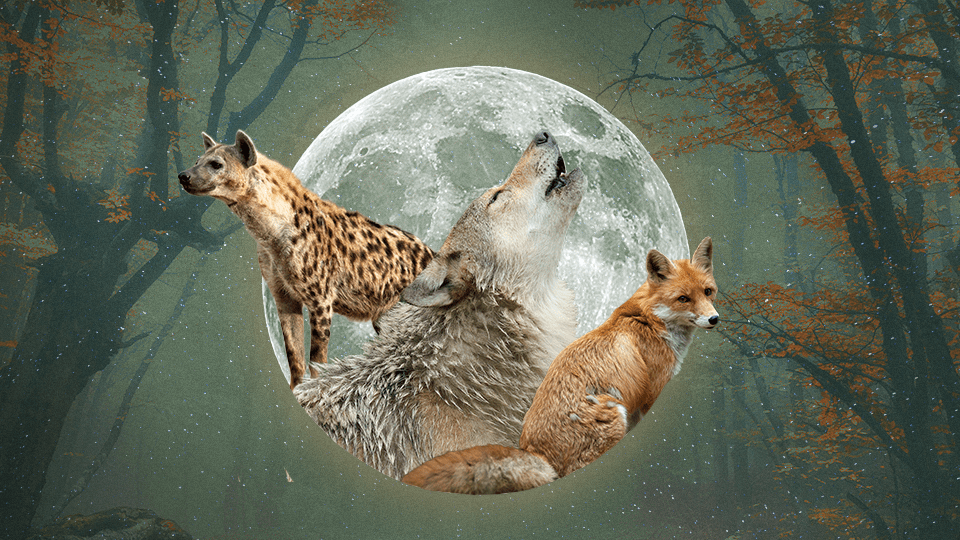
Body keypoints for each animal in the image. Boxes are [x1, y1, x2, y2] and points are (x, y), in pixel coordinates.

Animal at [178, 131, 434, 389]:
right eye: (197, 161)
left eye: (216, 164)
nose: (182, 175)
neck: (270, 232)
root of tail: (431, 252)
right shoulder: (283, 296)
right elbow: (294, 353)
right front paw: (296, 389)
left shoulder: (321, 300)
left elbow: (317, 357)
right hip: (387, 316)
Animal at [402, 238, 719, 494]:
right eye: (683, 298)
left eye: (708, 292)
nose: (714, 319)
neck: (651, 320)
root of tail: (535, 452)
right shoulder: (650, 394)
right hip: (614, 416)